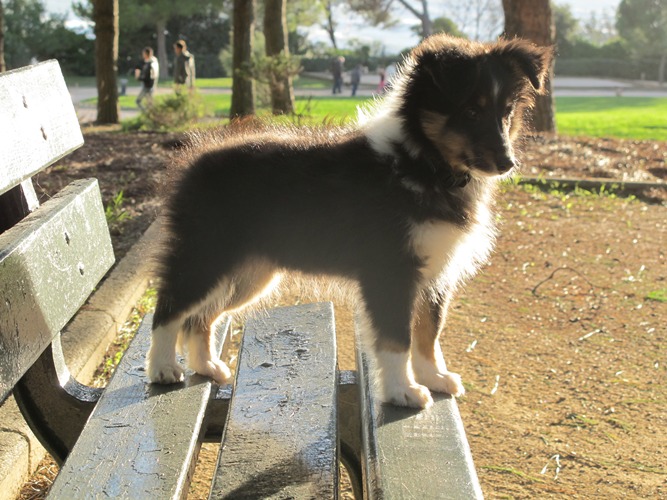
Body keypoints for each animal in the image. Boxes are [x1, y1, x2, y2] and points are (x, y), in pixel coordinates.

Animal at [149, 36, 552, 410]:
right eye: (469, 111)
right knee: (170, 308)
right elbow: (398, 338)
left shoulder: (436, 272)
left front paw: (434, 377)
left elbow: (428, 334)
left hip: (250, 273)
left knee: (200, 318)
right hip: (207, 256)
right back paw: (163, 368)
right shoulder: (391, 271)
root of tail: (196, 158)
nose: (507, 163)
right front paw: (403, 391)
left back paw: (206, 365)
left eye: (507, 112)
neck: (423, 163)